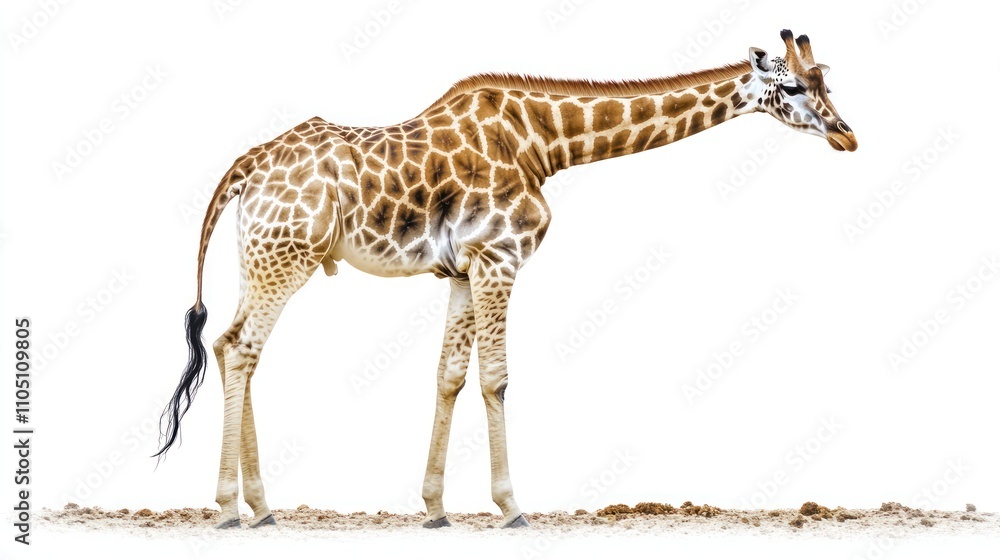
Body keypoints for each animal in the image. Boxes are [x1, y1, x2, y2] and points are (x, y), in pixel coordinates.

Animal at [155, 29, 856, 529]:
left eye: (825, 82)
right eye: (795, 87)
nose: (847, 136)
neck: (547, 144)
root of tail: (246, 166)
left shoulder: (463, 270)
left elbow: (449, 377)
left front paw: (436, 509)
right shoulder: (501, 257)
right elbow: (495, 377)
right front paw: (512, 506)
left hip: (261, 256)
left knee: (230, 345)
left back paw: (259, 506)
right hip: (286, 257)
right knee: (243, 348)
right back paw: (230, 508)